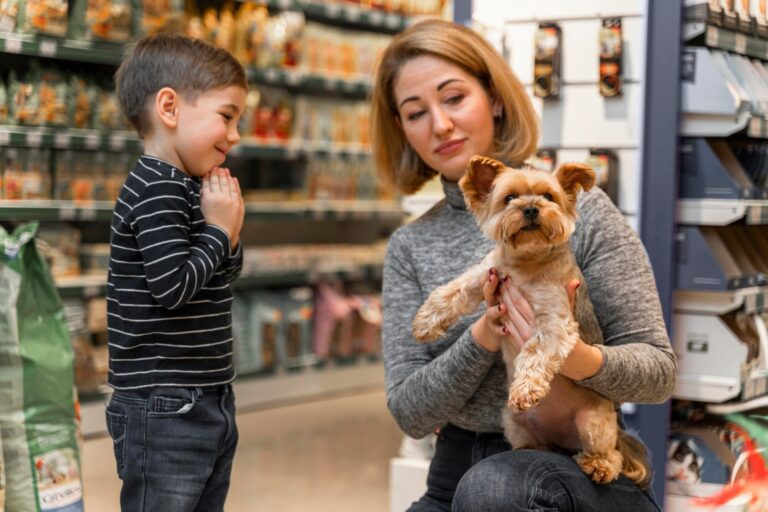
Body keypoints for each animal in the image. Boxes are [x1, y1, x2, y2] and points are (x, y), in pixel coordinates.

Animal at [414, 156, 648, 488]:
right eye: (509, 197)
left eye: (549, 196)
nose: (530, 208)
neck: (526, 262)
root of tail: (562, 440)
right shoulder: (487, 273)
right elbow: (454, 289)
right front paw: (425, 321)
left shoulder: (554, 320)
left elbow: (536, 349)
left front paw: (525, 390)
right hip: (512, 421)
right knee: (534, 443)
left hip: (594, 421)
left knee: (610, 454)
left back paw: (598, 465)